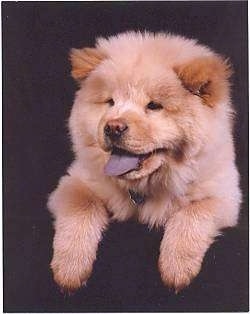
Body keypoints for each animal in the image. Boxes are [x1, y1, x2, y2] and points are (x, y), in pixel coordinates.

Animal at [47, 31, 241, 292]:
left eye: (154, 106)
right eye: (110, 102)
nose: (113, 127)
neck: (141, 188)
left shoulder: (225, 195)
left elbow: (194, 212)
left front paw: (176, 268)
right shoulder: (74, 181)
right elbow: (81, 206)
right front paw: (69, 270)